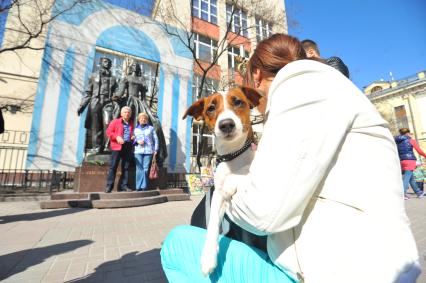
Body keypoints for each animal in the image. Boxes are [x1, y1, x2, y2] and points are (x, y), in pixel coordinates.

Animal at [184, 87, 266, 278]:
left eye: (238, 102)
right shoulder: (217, 198)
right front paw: (208, 257)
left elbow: (244, 176)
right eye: (211, 108)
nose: (226, 124)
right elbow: (213, 223)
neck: (233, 156)